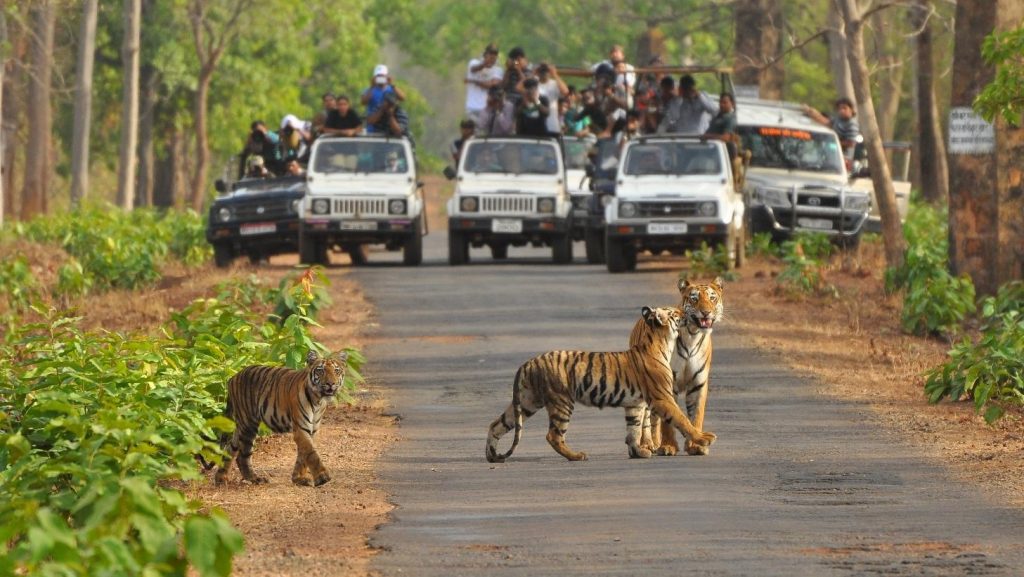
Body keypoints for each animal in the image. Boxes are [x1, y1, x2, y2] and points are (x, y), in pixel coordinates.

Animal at [210, 348, 348, 487]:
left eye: (336, 371)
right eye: (320, 370)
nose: (330, 384)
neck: (318, 400)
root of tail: (233, 377)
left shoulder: (312, 430)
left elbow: (303, 455)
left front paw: (299, 478)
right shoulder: (301, 428)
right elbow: (311, 453)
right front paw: (322, 477)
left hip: (242, 426)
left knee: (230, 448)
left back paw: (221, 478)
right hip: (248, 424)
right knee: (242, 456)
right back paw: (254, 478)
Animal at [489, 307, 720, 465]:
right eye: (674, 312)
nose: (685, 311)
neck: (661, 342)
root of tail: (529, 362)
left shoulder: (635, 404)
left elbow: (633, 429)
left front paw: (638, 452)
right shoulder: (662, 398)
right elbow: (682, 420)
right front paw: (704, 439)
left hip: (527, 401)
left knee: (496, 424)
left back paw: (491, 455)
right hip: (561, 401)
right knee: (553, 435)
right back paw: (577, 456)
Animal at [634, 276, 724, 459]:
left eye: (712, 298)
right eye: (694, 298)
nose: (706, 312)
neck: (693, 335)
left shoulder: (698, 384)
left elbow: (696, 416)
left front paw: (696, 446)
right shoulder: (668, 384)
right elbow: (668, 421)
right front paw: (668, 446)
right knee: (646, 418)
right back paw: (648, 445)